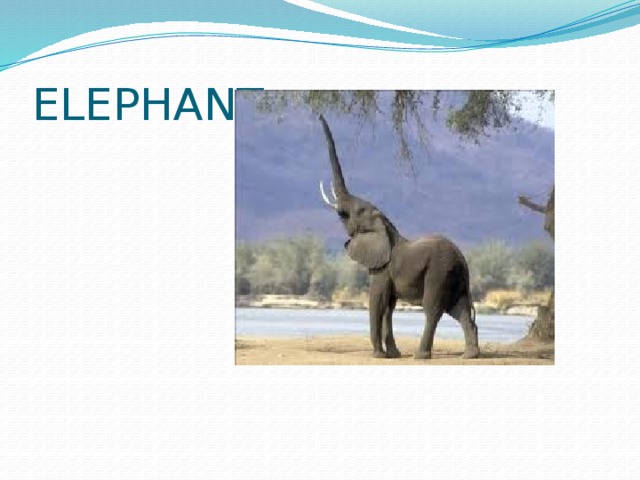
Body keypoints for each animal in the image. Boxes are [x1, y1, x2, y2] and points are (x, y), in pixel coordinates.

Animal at [317, 115, 480, 360]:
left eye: (356, 211)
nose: (319, 115)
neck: (385, 225)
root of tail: (462, 261)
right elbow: (389, 307)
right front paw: (392, 354)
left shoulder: (383, 269)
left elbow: (378, 301)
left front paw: (378, 355)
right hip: (456, 277)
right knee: (460, 310)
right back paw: (470, 355)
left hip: (439, 272)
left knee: (433, 309)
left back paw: (421, 356)